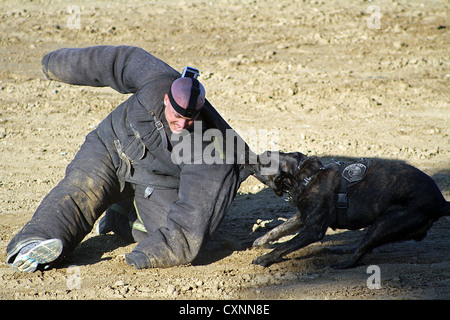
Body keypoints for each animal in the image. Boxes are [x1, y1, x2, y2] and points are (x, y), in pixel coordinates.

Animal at [246, 151, 450, 268]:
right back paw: (341, 250)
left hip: (386, 223)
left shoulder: (314, 229)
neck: (305, 176)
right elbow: (278, 229)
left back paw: (338, 264)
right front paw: (260, 241)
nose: (246, 155)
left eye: (262, 163)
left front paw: (265, 259)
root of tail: (441, 201)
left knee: (358, 255)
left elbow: (285, 245)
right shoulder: (303, 217)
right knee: (364, 248)